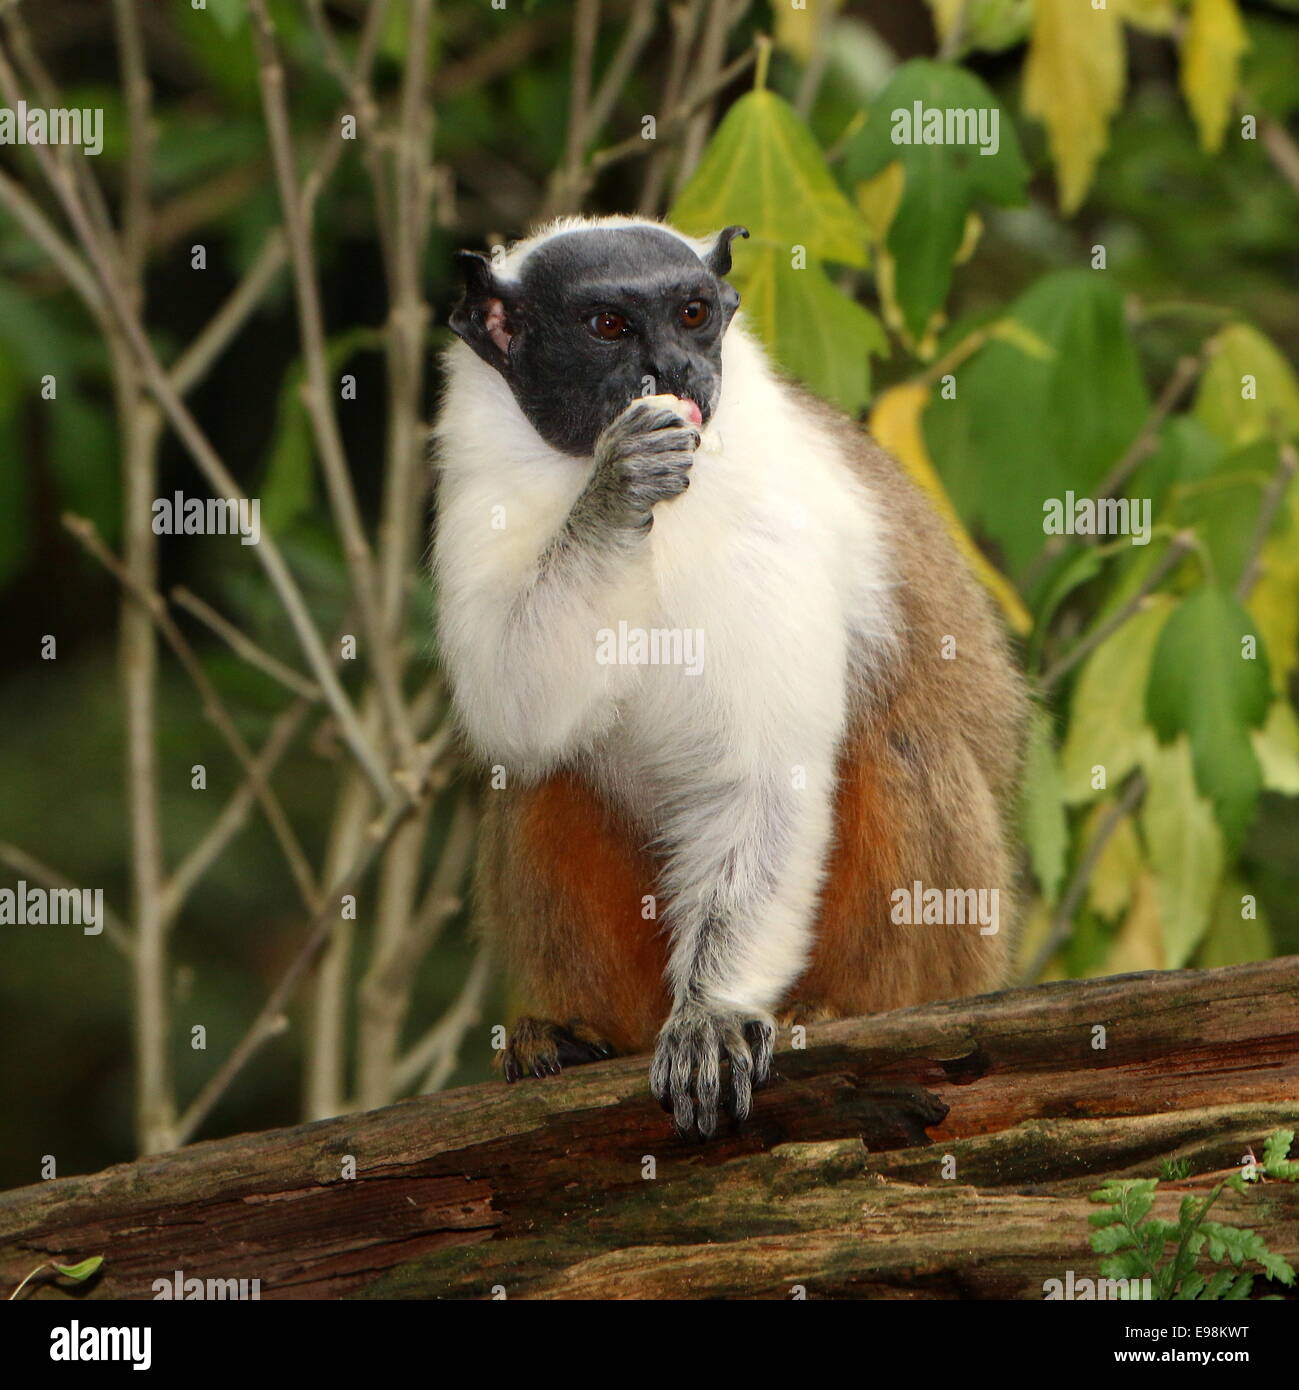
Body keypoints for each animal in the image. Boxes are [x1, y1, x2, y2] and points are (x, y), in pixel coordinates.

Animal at [433, 211, 1028, 1134]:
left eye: (691, 315)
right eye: (609, 326)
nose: (678, 372)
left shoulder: (768, 528)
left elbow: (765, 776)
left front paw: (712, 1015)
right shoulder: (477, 494)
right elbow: (516, 710)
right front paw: (617, 492)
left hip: (966, 947)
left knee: (899, 740)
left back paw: (844, 1008)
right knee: (547, 770)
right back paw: (573, 1033)